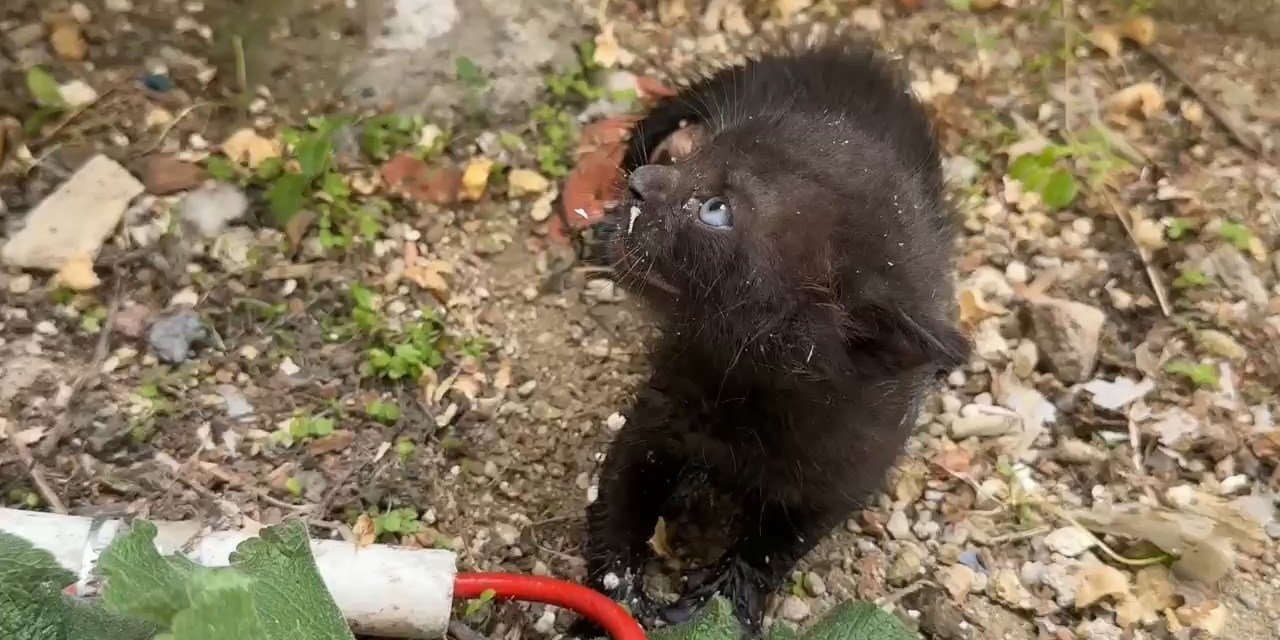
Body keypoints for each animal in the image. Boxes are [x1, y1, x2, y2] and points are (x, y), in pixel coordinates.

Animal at [583, 41, 967, 634]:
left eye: (716, 209)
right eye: (692, 159)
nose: (641, 184)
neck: (749, 386)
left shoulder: (844, 474)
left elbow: (775, 545)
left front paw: (719, 598)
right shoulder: (654, 419)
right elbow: (619, 496)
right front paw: (615, 596)